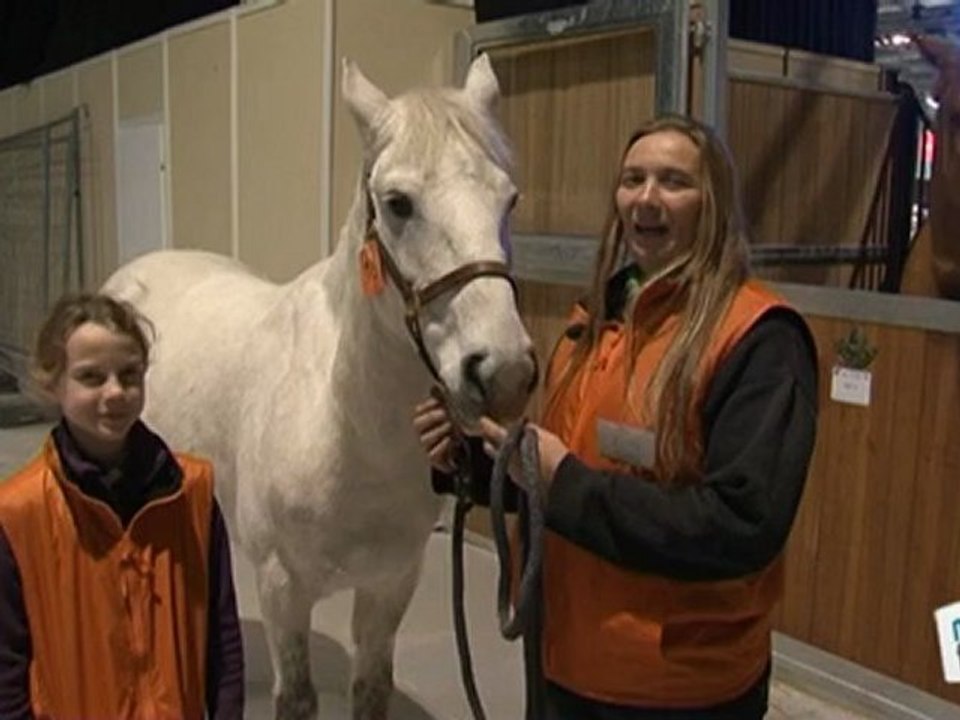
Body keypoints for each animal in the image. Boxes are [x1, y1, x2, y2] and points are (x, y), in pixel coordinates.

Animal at [102, 54, 537, 720]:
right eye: (398, 203)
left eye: (508, 199)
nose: (505, 370)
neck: (344, 423)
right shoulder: (285, 588)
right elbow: (298, 697)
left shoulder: (390, 583)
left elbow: (371, 688)